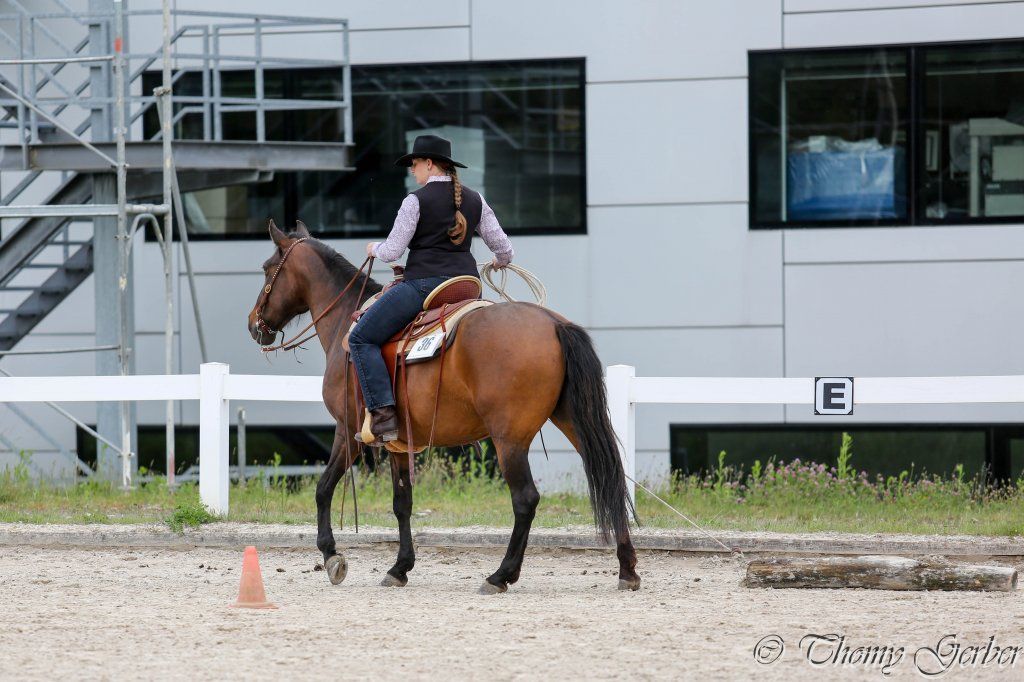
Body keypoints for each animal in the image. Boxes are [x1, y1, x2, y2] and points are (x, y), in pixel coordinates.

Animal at [246, 220, 640, 593]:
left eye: (267, 269)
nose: (253, 325)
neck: (346, 320)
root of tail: (554, 324)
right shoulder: (397, 442)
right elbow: (402, 502)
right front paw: (400, 568)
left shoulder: (348, 432)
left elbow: (324, 487)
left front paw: (332, 557)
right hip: (572, 421)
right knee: (610, 476)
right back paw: (627, 569)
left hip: (509, 439)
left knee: (525, 499)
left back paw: (501, 575)